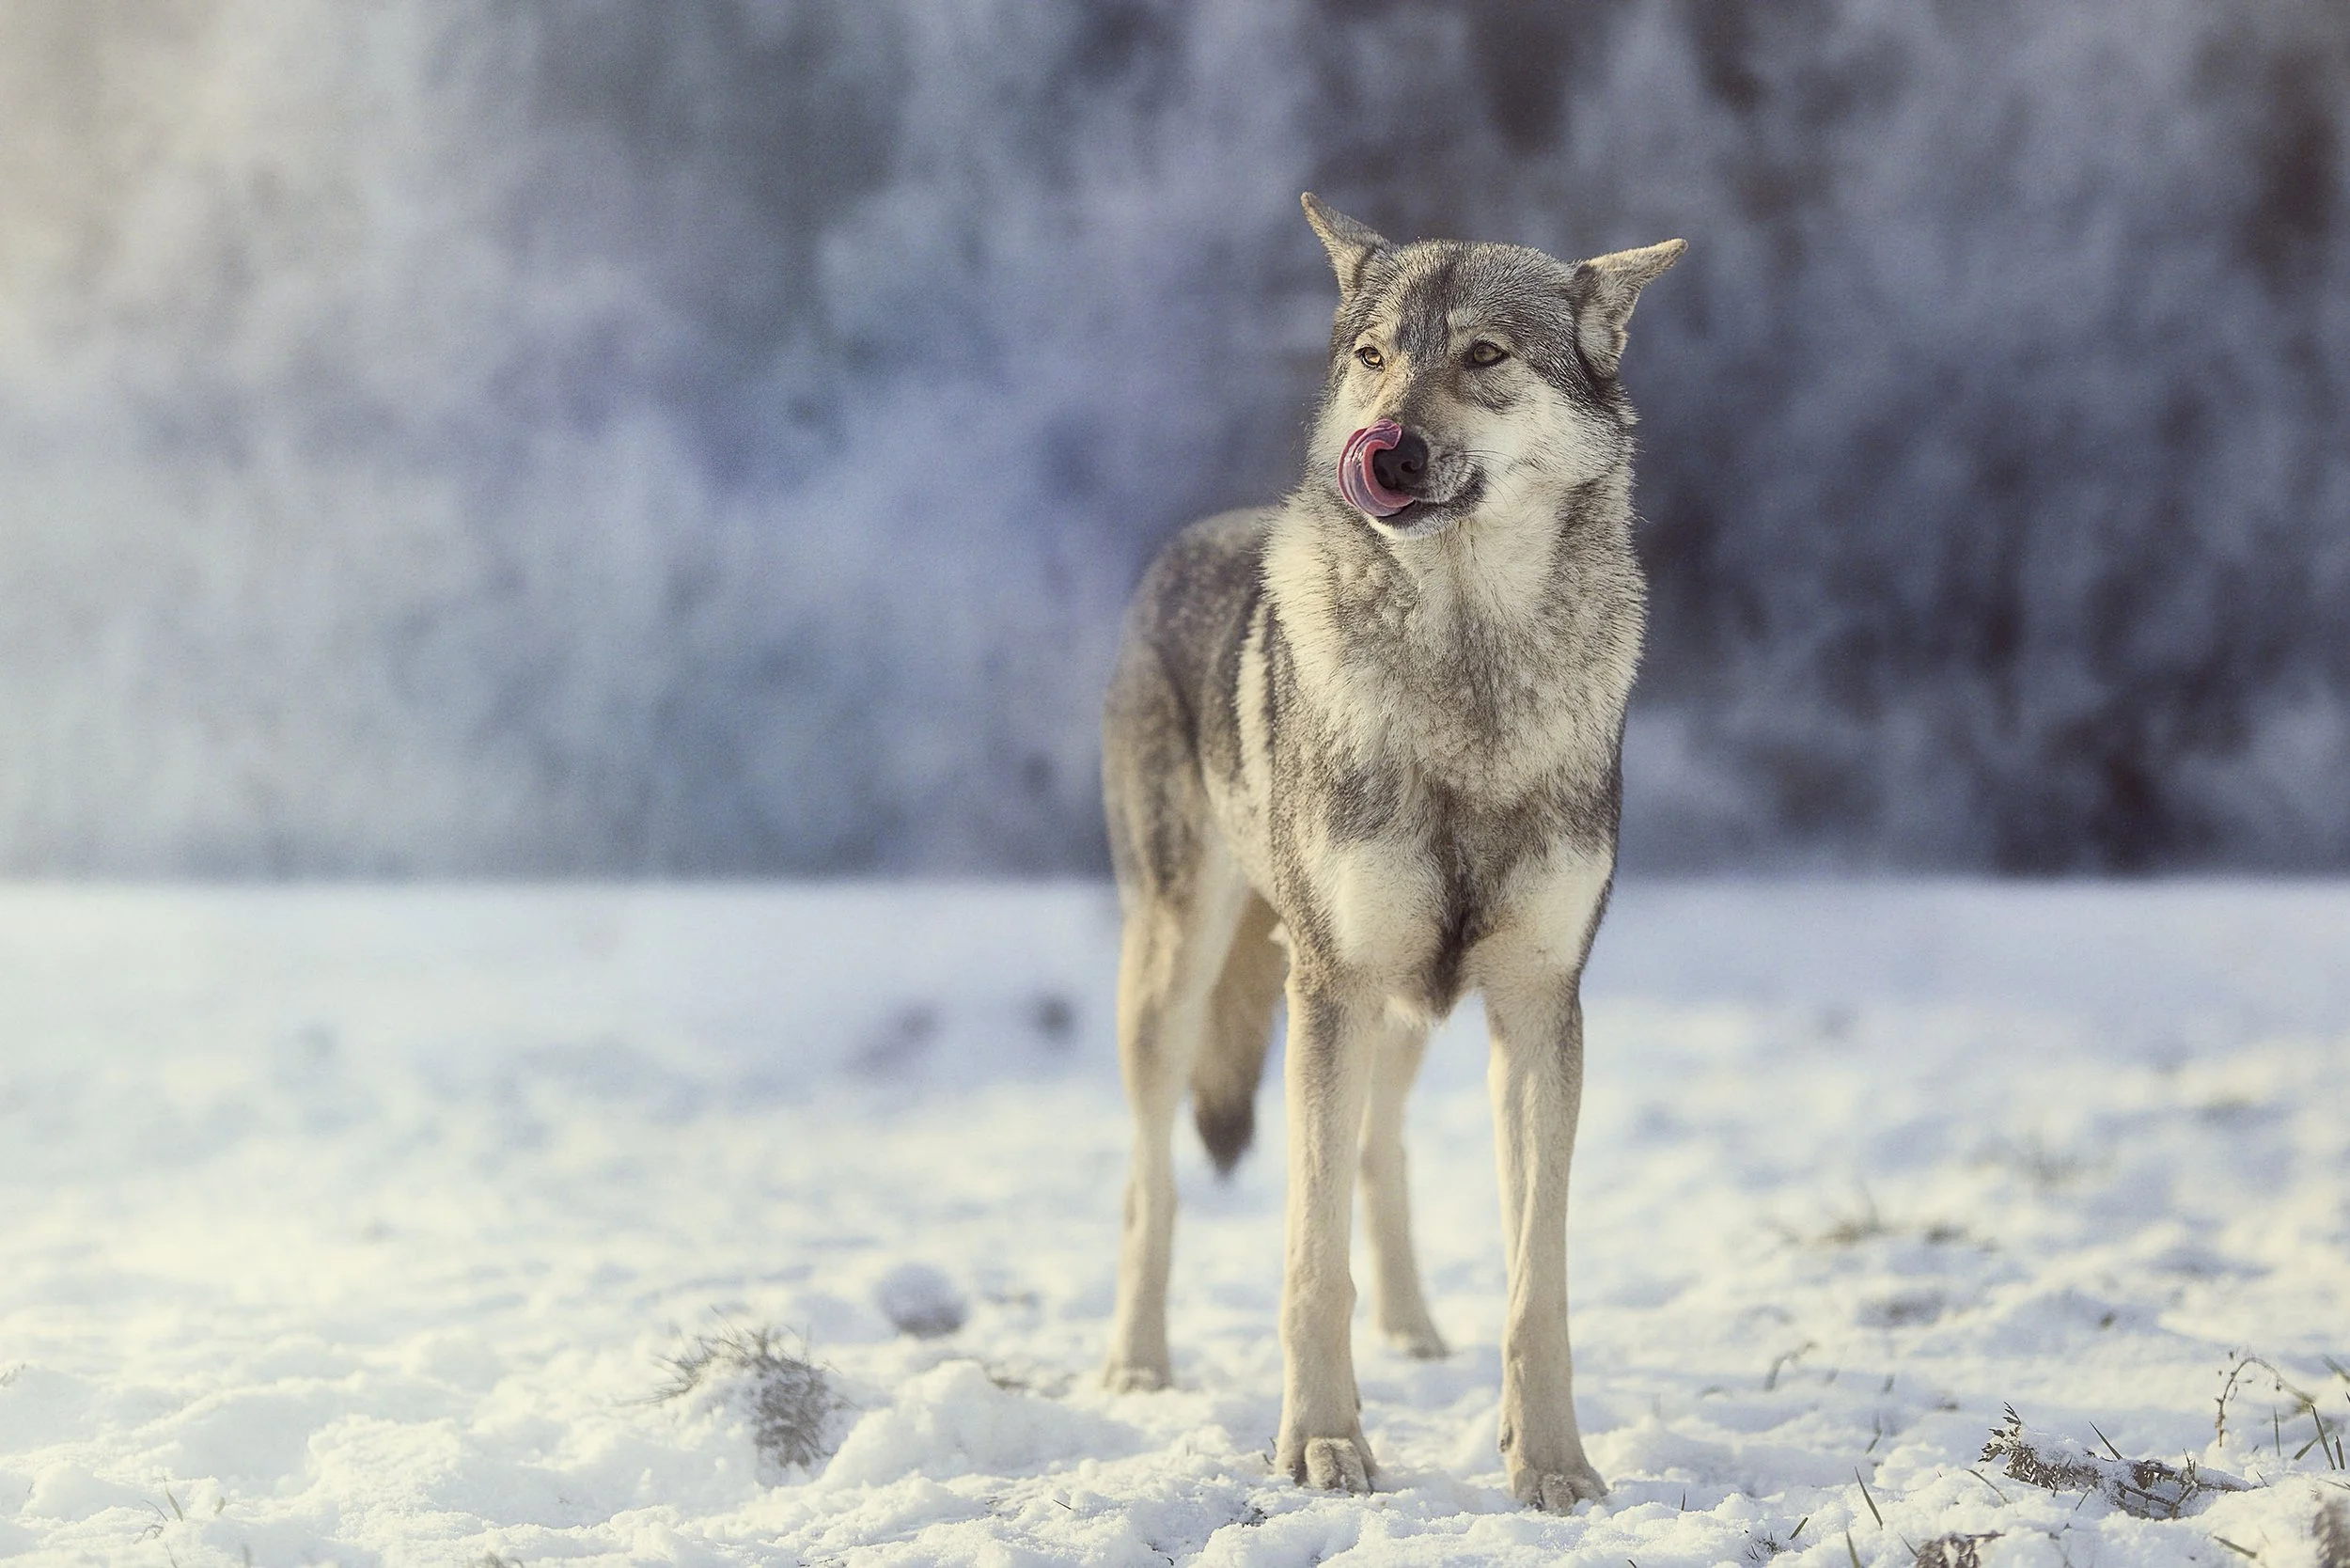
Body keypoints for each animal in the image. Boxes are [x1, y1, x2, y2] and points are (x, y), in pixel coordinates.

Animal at [1099, 193, 1682, 1510]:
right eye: (1373, 357)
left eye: (1483, 355)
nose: (1384, 447)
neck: (1465, 670)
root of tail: (1186, 540)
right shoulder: (1331, 987)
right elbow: (1309, 1264)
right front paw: (1322, 1446)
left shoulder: (1537, 1006)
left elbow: (1535, 1282)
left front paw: (1550, 1466)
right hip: (1185, 975)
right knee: (1153, 1184)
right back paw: (1137, 1368)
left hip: (1408, 1009)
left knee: (1380, 1152)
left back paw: (1416, 1335)